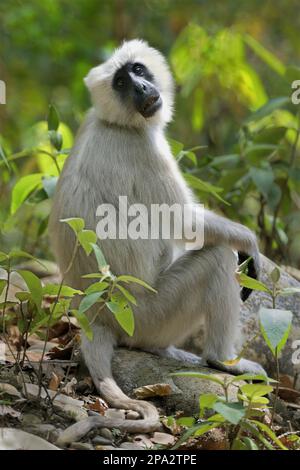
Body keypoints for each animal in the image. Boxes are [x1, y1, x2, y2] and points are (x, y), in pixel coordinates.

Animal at [49, 40, 264, 444]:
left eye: (137, 71)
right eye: (121, 83)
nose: (141, 88)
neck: (113, 122)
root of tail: (97, 317)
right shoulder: (143, 148)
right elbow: (185, 222)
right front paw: (252, 244)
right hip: (151, 315)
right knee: (217, 258)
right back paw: (220, 359)